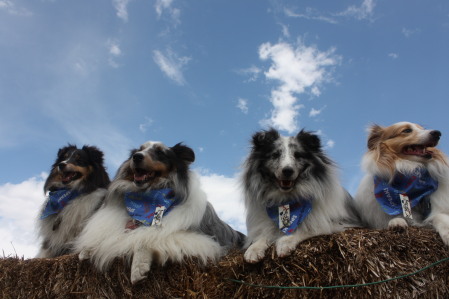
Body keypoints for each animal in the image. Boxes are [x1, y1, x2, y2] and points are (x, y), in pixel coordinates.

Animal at [77, 142, 245, 284]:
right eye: (139, 149)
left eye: (160, 152)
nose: (136, 156)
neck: (148, 195)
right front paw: (86, 250)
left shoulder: (202, 239)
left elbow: (145, 237)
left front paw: (138, 268)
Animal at [240, 129, 358, 262]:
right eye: (275, 155)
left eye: (298, 155)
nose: (287, 171)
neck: (287, 199)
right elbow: (264, 234)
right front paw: (253, 250)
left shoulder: (339, 223)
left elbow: (308, 228)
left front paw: (285, 242)